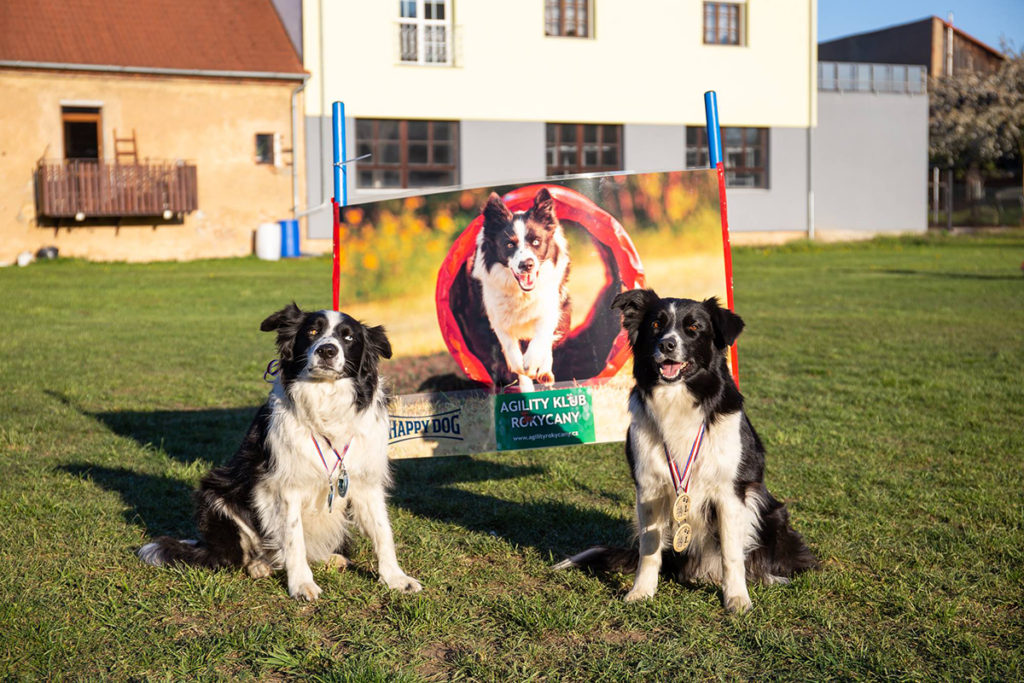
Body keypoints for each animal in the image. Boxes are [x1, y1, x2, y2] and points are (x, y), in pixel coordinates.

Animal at [138, 303, 421, 598]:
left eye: (348, 337)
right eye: (312, 331)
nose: (327, 351)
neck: (325, 403)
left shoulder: (365, 480)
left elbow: (382, 531)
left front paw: (395, 578)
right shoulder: (284, 486)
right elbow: (294, 537)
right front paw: (302, 584)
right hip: (215, 494)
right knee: (241, 553)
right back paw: (259, 565)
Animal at [468, 187, 569, 393]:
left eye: (536, 242)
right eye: (509, 244)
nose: (527, 265)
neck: (522, 293)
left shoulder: (550, 306)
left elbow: (541, 337)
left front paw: (534, 364)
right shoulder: (497, 317)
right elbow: (512, 352)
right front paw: (523, 372)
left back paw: (545, 372)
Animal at [557, 290, 811, 614]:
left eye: (693, 328)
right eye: (656, 324)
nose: (667, 344)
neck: (678, 399)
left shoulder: (730, 492)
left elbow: (732, 553)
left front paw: (737, 599)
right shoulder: (649, 489)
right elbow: (649, 550)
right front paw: (641, 592)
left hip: (768, 509)